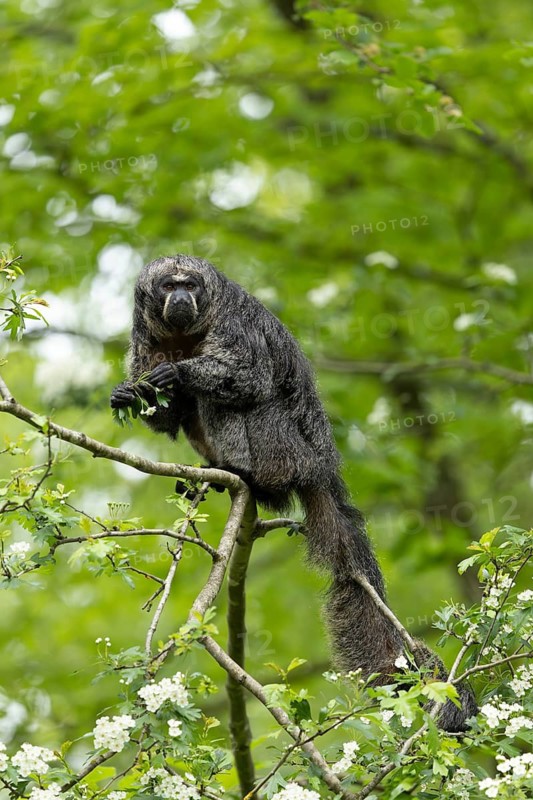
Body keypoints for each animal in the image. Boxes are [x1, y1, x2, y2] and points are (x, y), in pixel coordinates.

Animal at [110, 255, 477, 731]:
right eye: (169, 287)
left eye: (189, 284)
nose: (181, 297)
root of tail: (320, 462)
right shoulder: (146, 336)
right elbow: (165, 415)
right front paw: (131, 393)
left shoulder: (235, 322)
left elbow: (248, 376)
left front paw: (179, 373)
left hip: (281, 446)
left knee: (233, 398)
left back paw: (240, 470)